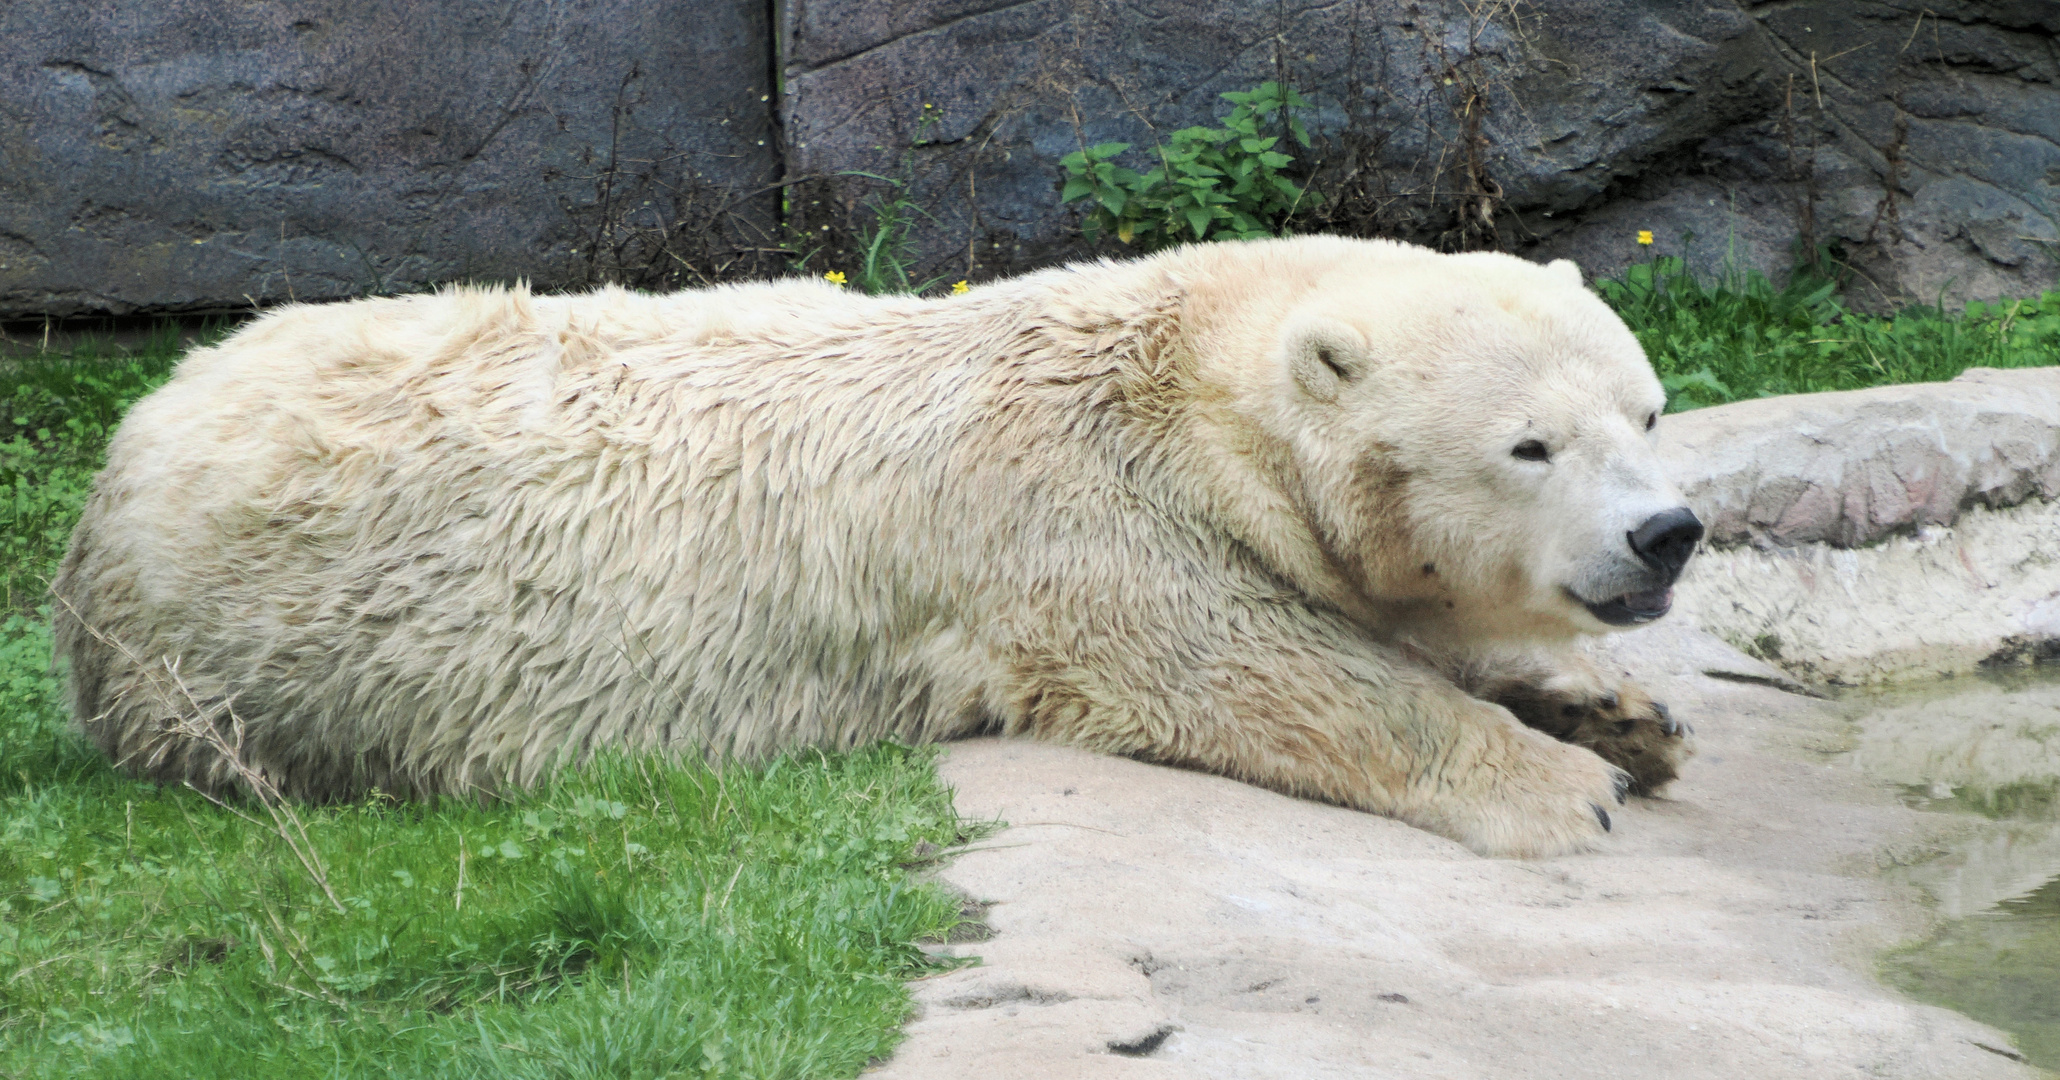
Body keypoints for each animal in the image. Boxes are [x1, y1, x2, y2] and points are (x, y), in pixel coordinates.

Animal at [56, 238, 1705, 861]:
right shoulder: (1071, 519)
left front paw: (1623, 715)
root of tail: (130, 439)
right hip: (235, 658)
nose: (1669, 533)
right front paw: (1555, 783)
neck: (1173, 378)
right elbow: (1254, 667)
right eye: (1530, 446)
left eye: (1647, 410)